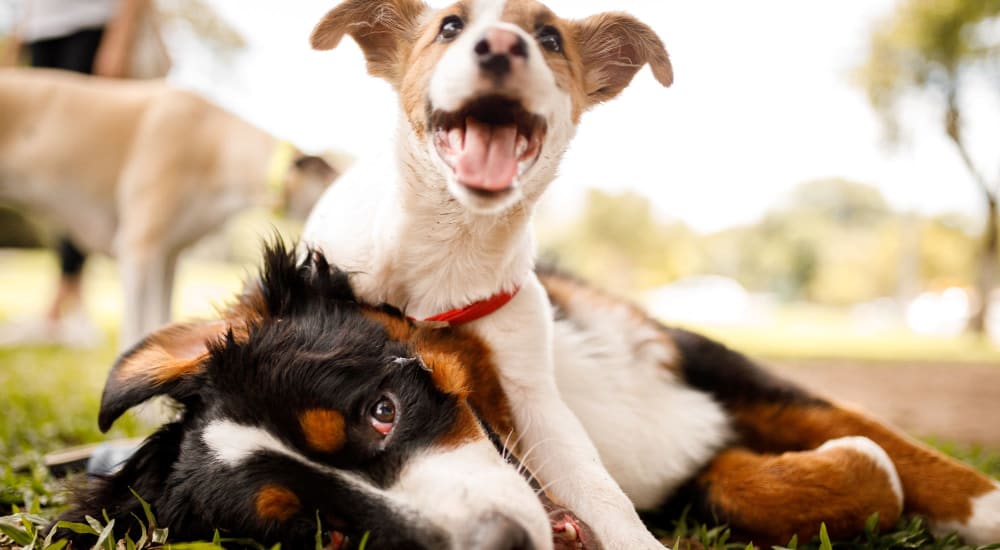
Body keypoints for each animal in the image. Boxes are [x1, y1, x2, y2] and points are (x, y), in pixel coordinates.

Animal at [52, 246, 1000, 550]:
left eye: (381, 411)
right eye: (324, 535)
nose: (498, 547)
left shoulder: (702, 363)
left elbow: (886, 440)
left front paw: (980, 506)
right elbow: (817, 472)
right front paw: (850, 476)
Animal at [302, 1, 672, 550]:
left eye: (550, 38)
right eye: (450, 27)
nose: (499, 45)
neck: (452, 246)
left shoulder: (532, 395)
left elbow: (599, 489)